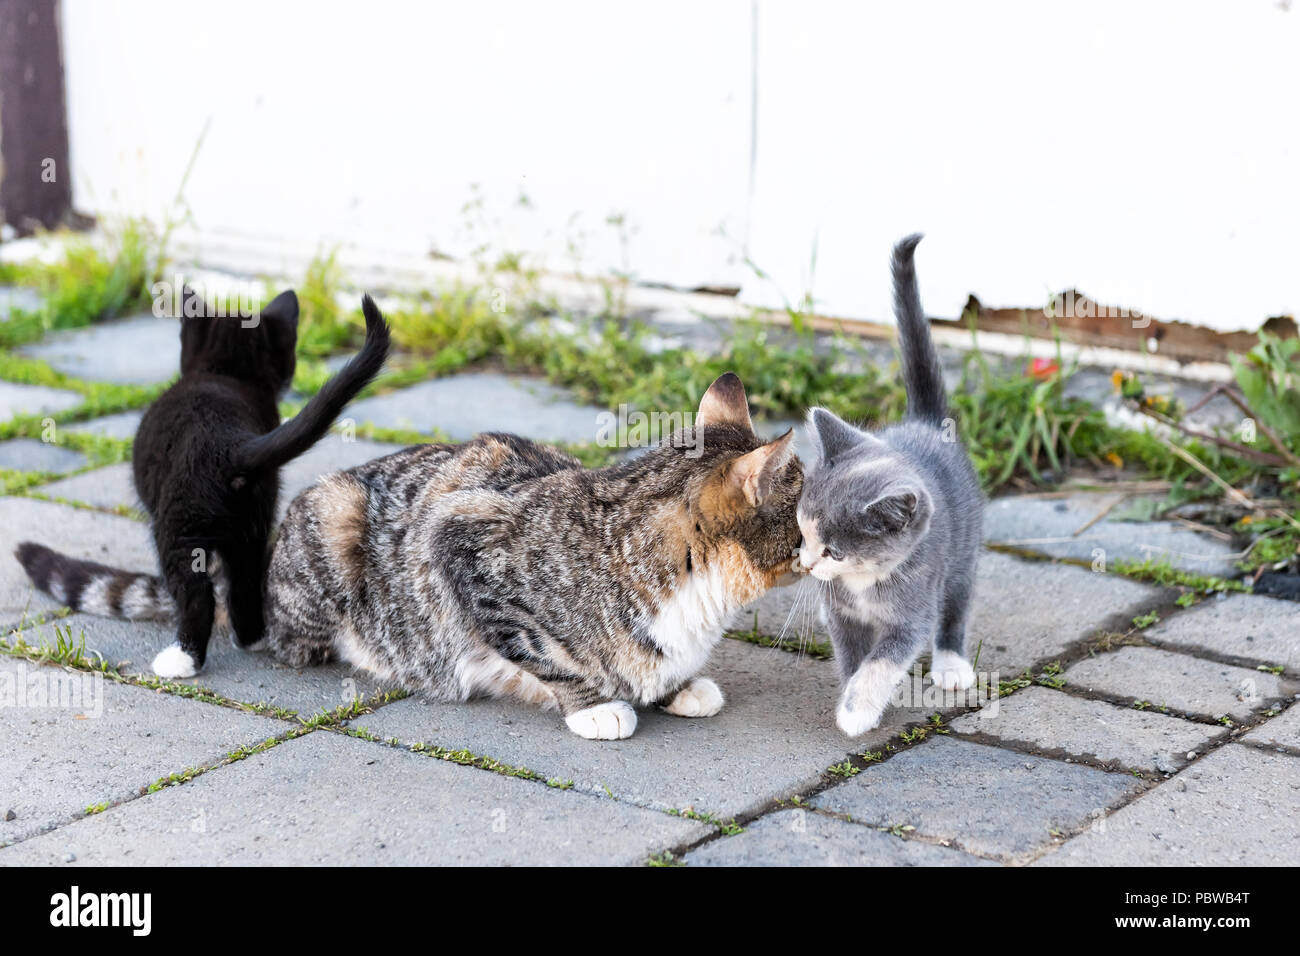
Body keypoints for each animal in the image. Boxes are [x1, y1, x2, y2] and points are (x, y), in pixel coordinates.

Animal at [16, 287, 390, 676]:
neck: (225, 373)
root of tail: (227, 444)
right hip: (254, 521)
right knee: (245, 581)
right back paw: (251, 638)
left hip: (177, 528)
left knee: (197, 595)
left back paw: (181, 658)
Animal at [795, 235, 977, 738]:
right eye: (803, 531)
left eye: (834, 551)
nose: (806, 565)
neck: (862, 582)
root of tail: (926, 423)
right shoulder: (839, 613)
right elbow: (853, 657)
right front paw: (851, 693)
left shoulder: (913, 610)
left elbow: (883, 661)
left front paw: (857, 711)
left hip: (963, 554)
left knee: (956, 605)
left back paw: (952, 664)